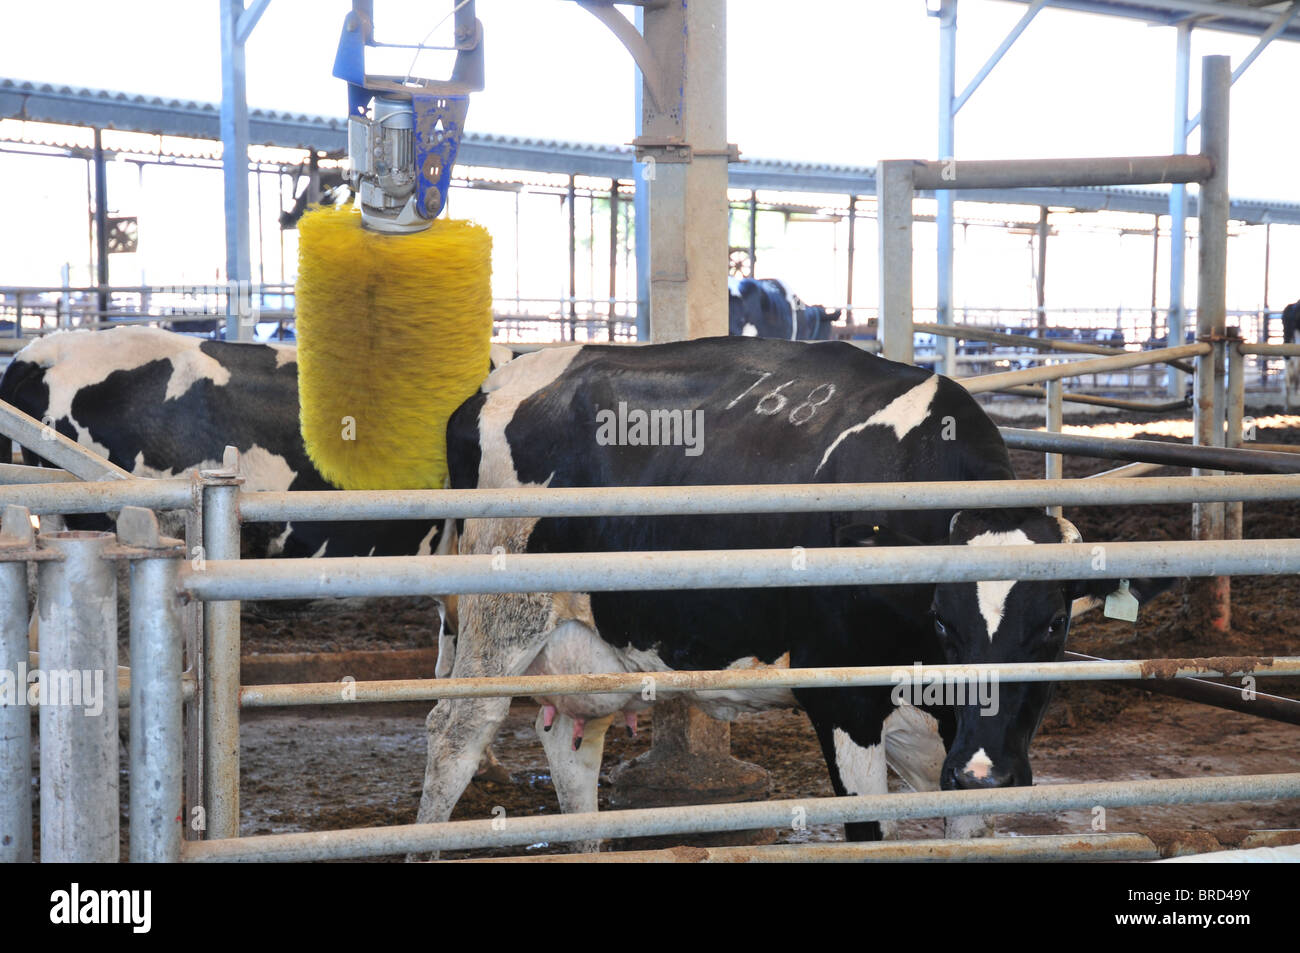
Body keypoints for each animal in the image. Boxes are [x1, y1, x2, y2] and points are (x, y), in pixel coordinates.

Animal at [416, 336, 1161, 850]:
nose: (987, 776)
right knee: (454, 735)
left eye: (1054, 625)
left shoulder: (956, 742)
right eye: (946, 624)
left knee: (571, 749)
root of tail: (488, 387)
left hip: (586, 645)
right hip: (499, 617)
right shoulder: (843, 699)